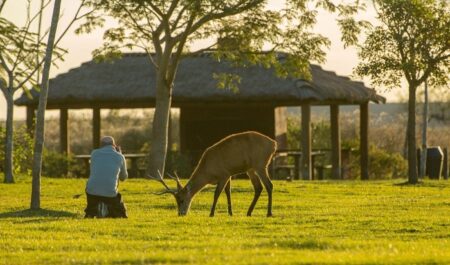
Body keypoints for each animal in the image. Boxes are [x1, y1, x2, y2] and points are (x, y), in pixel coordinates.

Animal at [148, 131, 276, 216]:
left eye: (182, 200)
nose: (181, 213)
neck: (208, 173)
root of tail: (273, 144)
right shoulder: (229, 174)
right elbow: (228, 192)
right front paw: (230, 213)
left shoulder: (224, 175)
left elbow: (217, 193)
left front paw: (211, 213)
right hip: (251, 169)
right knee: (258, 187)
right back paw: (249, 212)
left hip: (260, 165)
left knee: (269, 185)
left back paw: (269, 213)